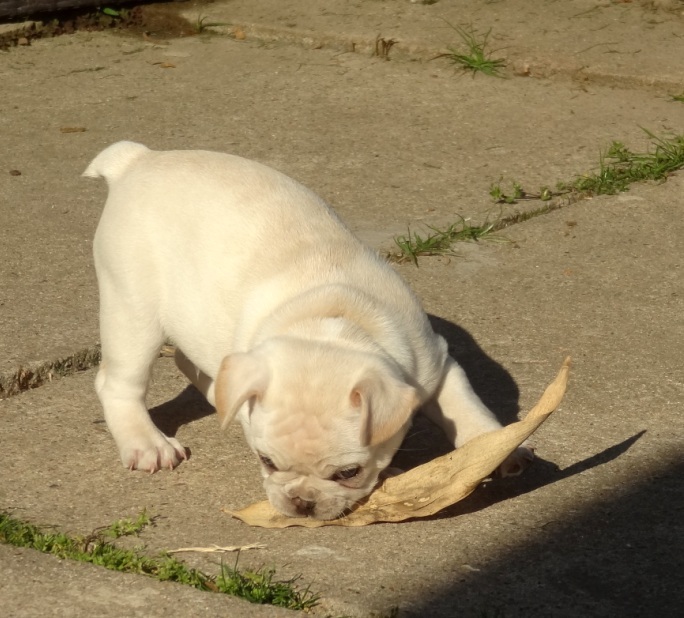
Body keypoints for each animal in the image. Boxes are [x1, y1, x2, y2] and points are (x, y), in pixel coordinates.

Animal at [84, 141, 533, 520]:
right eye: (265, 461)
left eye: (349, 473)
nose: (301, 501)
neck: (330, 324)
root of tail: (137, 159)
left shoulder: (435, 367)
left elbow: (467, 409)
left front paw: (499, 447)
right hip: (132, 310)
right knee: (119, 384)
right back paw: (148, 443)